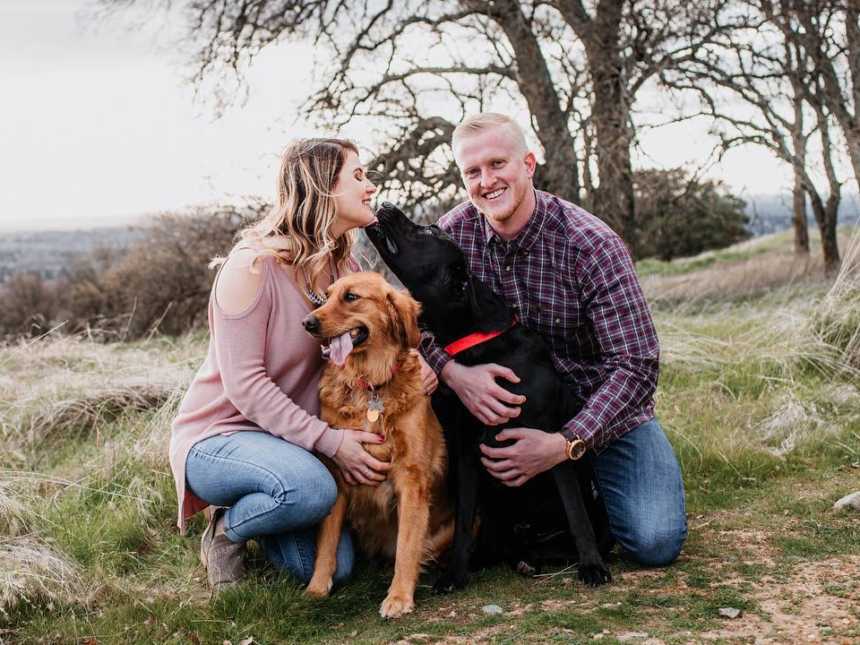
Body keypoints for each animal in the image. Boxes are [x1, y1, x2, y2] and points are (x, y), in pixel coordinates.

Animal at [362, 204, 612, 592]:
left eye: (429, 233)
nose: (387, 206)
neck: (476, 339)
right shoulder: (467, 452)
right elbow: (464, 521)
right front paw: (455, 574)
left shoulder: (549, 445)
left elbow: (576, 513)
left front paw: (592, 566)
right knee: (503, 544)